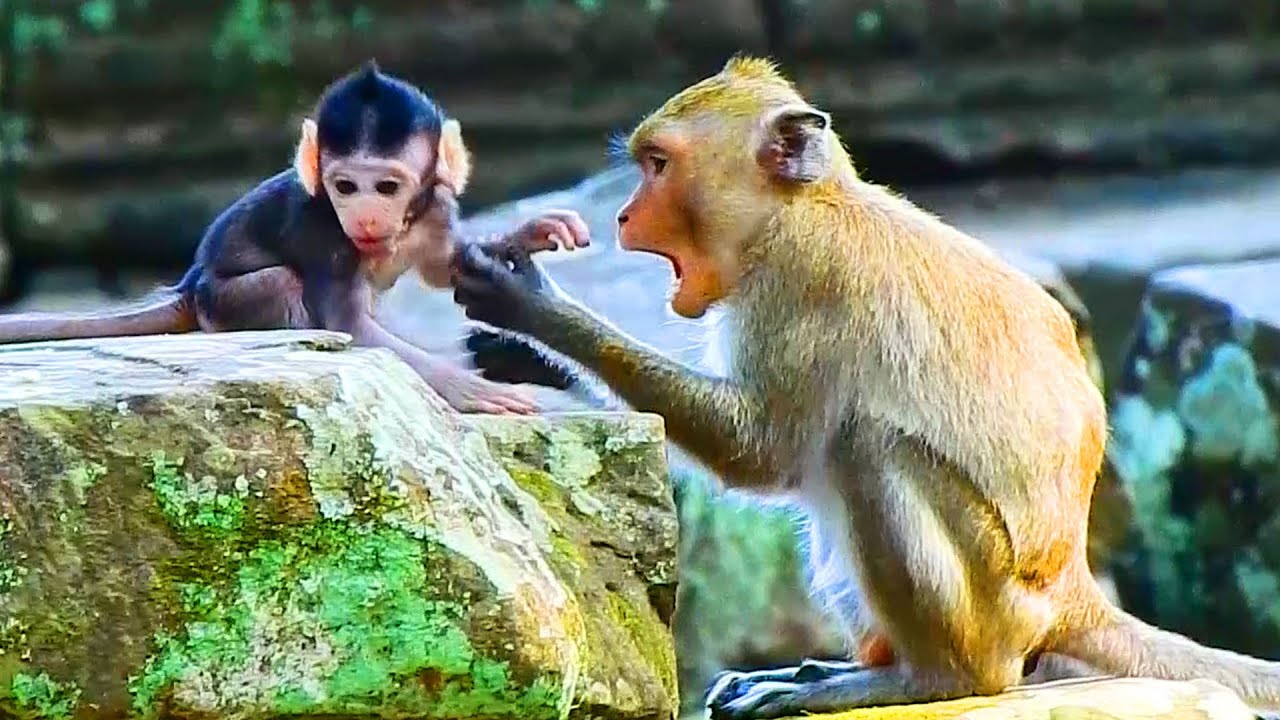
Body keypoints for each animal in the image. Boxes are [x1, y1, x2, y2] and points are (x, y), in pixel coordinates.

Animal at [0, 61, 589, 415]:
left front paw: (528, 235)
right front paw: (472, 389)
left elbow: (443, 266)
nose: (364, 216)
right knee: (282, 283)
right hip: (225, 302)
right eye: (345, 187)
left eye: (387, 186)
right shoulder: (322, 230)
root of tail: (188, 286)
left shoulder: (438, 208)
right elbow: (349, 327)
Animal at [448, 56, 1280, 717]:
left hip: (995, 608)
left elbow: (761, 451)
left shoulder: (800, 283)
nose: (622, 215)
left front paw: (534, 309)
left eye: (657, 164)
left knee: (865, 446)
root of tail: (1072, 583)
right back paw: (844, 668)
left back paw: (926, 680)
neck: (801, 207)